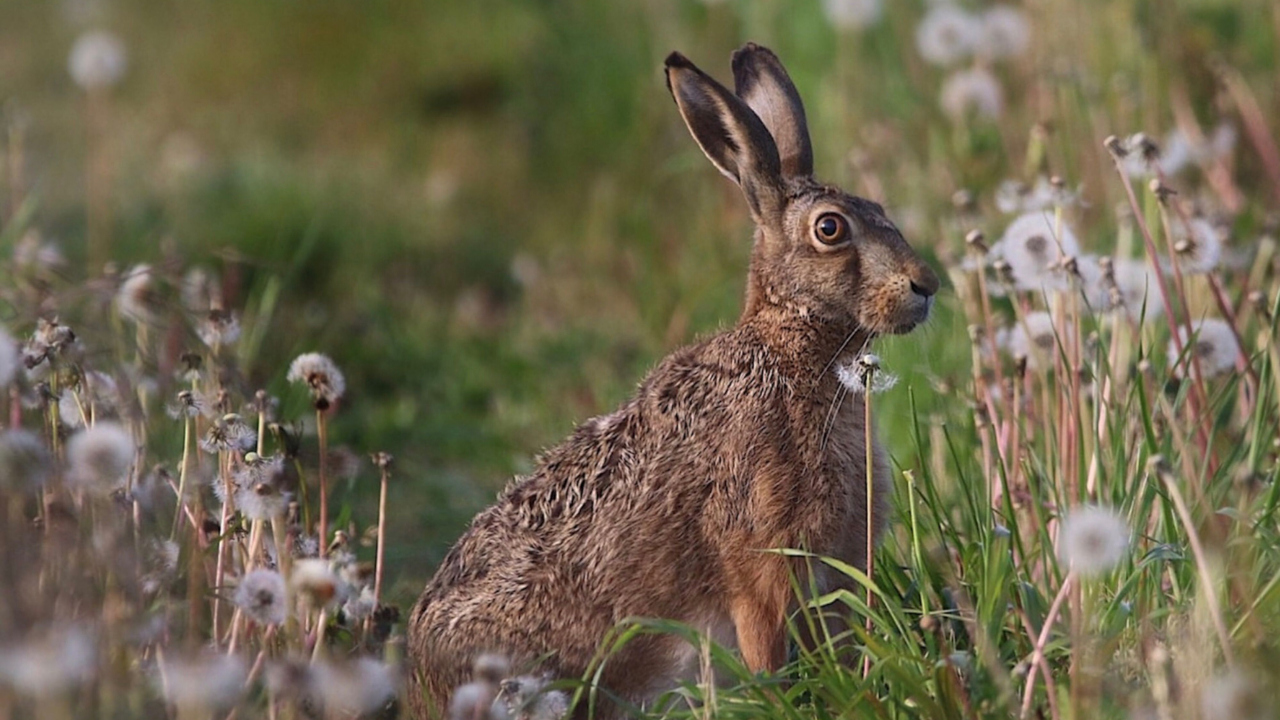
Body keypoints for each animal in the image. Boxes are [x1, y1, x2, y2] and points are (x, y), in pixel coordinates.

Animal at [408, 42, 939, 719]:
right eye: (831, 229)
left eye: (882, 213)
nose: (926, 284)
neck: (791, 351)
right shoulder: (762, 565)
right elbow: (766, 648)